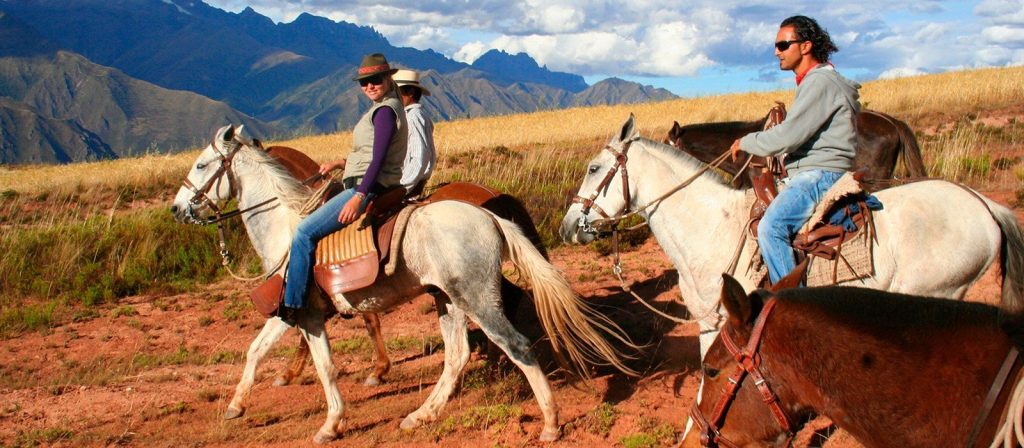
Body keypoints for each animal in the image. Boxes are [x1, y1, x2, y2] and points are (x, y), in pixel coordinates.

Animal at [171, 125, 636, 443]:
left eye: (201, 164)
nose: (177, 208)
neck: (287, 231)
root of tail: (488, 214)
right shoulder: (297, 314)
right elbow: (256, 351)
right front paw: (236, 405)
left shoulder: (302, 314)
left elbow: (324, 366)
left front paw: (331, 422)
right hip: (448, 300)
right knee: (457, 356)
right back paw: (421, 415)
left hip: (476, 299)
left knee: (515, 345)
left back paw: (551, 422)